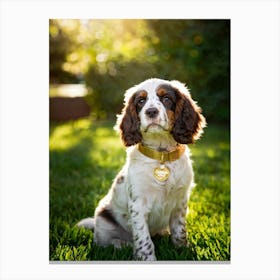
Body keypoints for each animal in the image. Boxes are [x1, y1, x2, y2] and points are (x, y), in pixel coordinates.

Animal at [77, 77, 207, 260]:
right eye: (141, 101)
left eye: (166, 98)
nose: (151, 112)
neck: (161, 156)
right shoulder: (138, 204)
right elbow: (144, 239)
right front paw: (147, 259)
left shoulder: (180, 202)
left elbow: (180, 231)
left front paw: (183, 251)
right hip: (103, 220)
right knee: (105, 242)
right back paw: (122, 245)